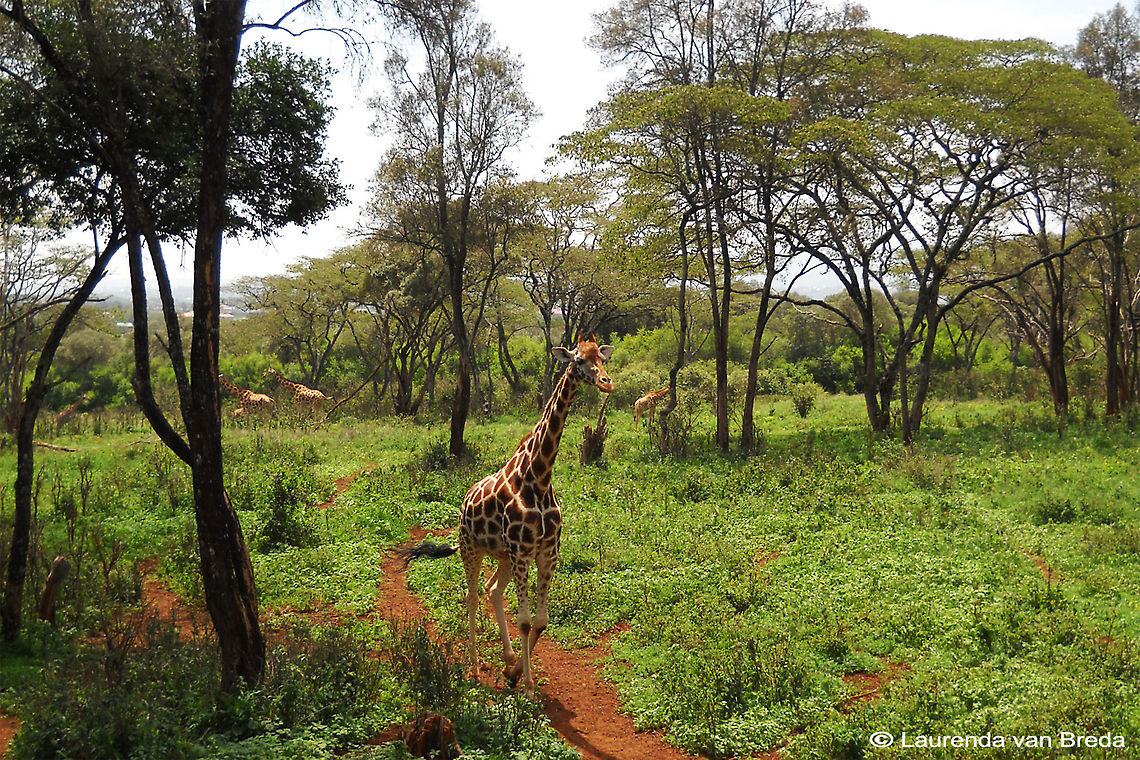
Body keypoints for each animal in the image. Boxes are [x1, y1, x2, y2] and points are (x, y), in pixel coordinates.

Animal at [395, 334, 615, 696]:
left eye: (602, 358)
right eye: (578, 360)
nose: (607, 382)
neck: (539, 477)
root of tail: (463, 501)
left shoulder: (546, 552)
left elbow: (540, 621)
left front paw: (514, 673)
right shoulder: (523, 551)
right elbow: (525, 621)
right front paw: (527, 686)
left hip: (503, 555)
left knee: (493, 589)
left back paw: (509, 658)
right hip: (473, 549)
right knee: (471, 596)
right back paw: (473, 665)